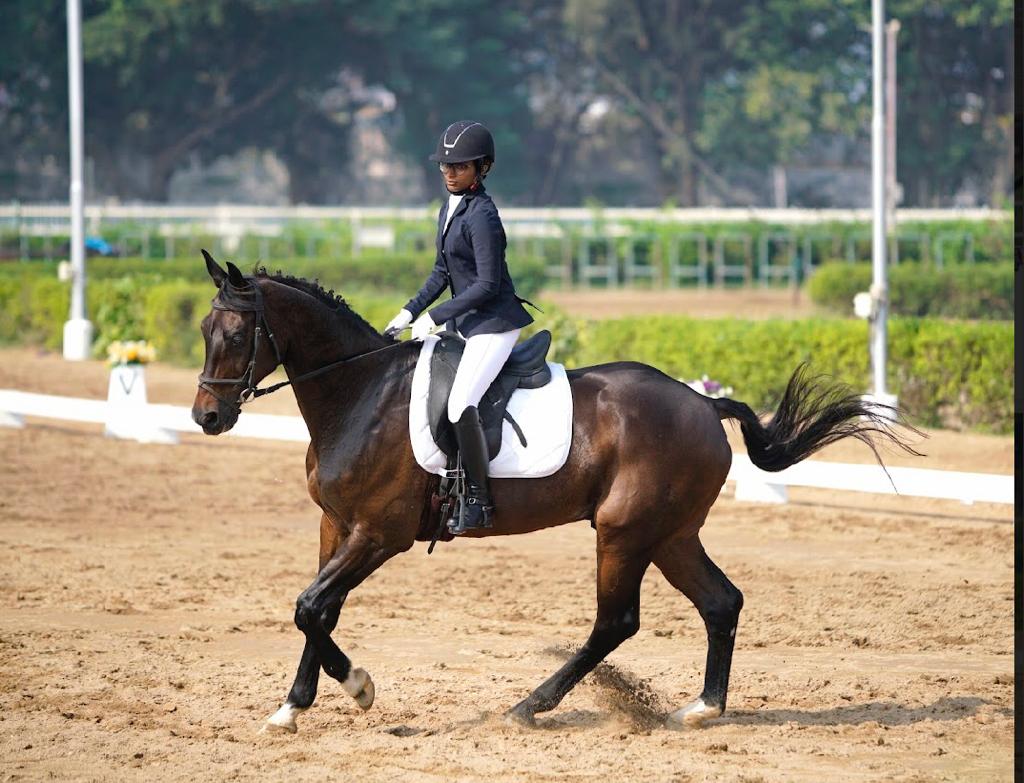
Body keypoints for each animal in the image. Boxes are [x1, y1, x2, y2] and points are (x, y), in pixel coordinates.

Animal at [191, 252, 919, 734]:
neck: (359, 394)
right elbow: (318, 611)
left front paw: (360, 688)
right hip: (670, 533)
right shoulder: (336, 527)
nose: (206, 418)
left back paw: (531, 704)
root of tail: (702, 405)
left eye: (237, 335)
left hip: (624, 531)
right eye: (203, 332)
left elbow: (311, 606)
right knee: (721, 602)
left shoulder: (380, 534)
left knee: (616, 621)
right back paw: (702, 707)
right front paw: (292, 705)